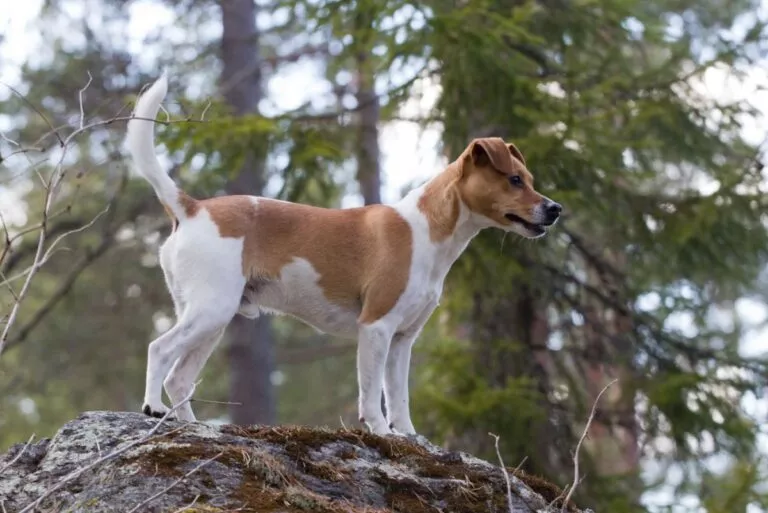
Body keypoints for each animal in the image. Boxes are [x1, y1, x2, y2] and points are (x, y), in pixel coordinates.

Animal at [124, 72, 560, 434]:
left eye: (529, 179)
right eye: (515, 180)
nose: (555, 209)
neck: (429, 232)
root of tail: (192, 207)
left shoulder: (402, 340)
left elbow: (399, 398)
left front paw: (409, 438)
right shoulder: (376, 327)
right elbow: (372, 395)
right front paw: (382, 433)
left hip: (211, 319)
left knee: (179, 377)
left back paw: (191, 425)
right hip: (210, 310)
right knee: (158, 351)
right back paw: (152, 407)